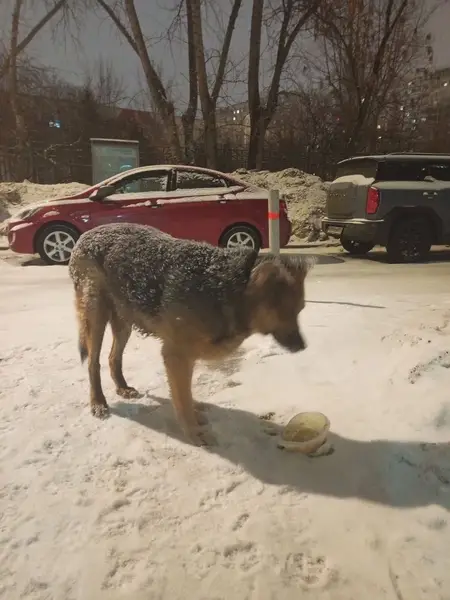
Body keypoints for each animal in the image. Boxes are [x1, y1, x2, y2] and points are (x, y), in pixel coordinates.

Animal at [68, 223, 313, 445]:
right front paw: (193, 431)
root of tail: (85, 235)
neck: (227, 288)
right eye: (285, 313)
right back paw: (98, 402)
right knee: (93, 363)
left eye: (300, 310)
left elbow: (186, 394)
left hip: (124, 322)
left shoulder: (187, 357)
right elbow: (183, 399)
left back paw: (122, 387)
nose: (303, 347)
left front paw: (195, 414)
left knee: (113, 357)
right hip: (96, 318)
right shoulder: (175, 356)